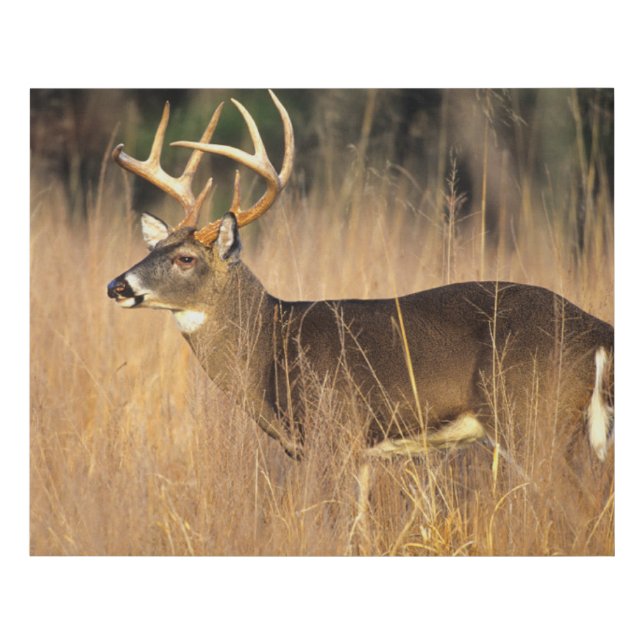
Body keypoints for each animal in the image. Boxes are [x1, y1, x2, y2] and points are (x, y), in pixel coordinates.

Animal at [107, 90, 614, 505]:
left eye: (186, 258)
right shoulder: (359, 453)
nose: (117, 286)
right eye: (152, 248)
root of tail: (598, 332)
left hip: (533, 418)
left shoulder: (334, 431)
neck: (272, 343)